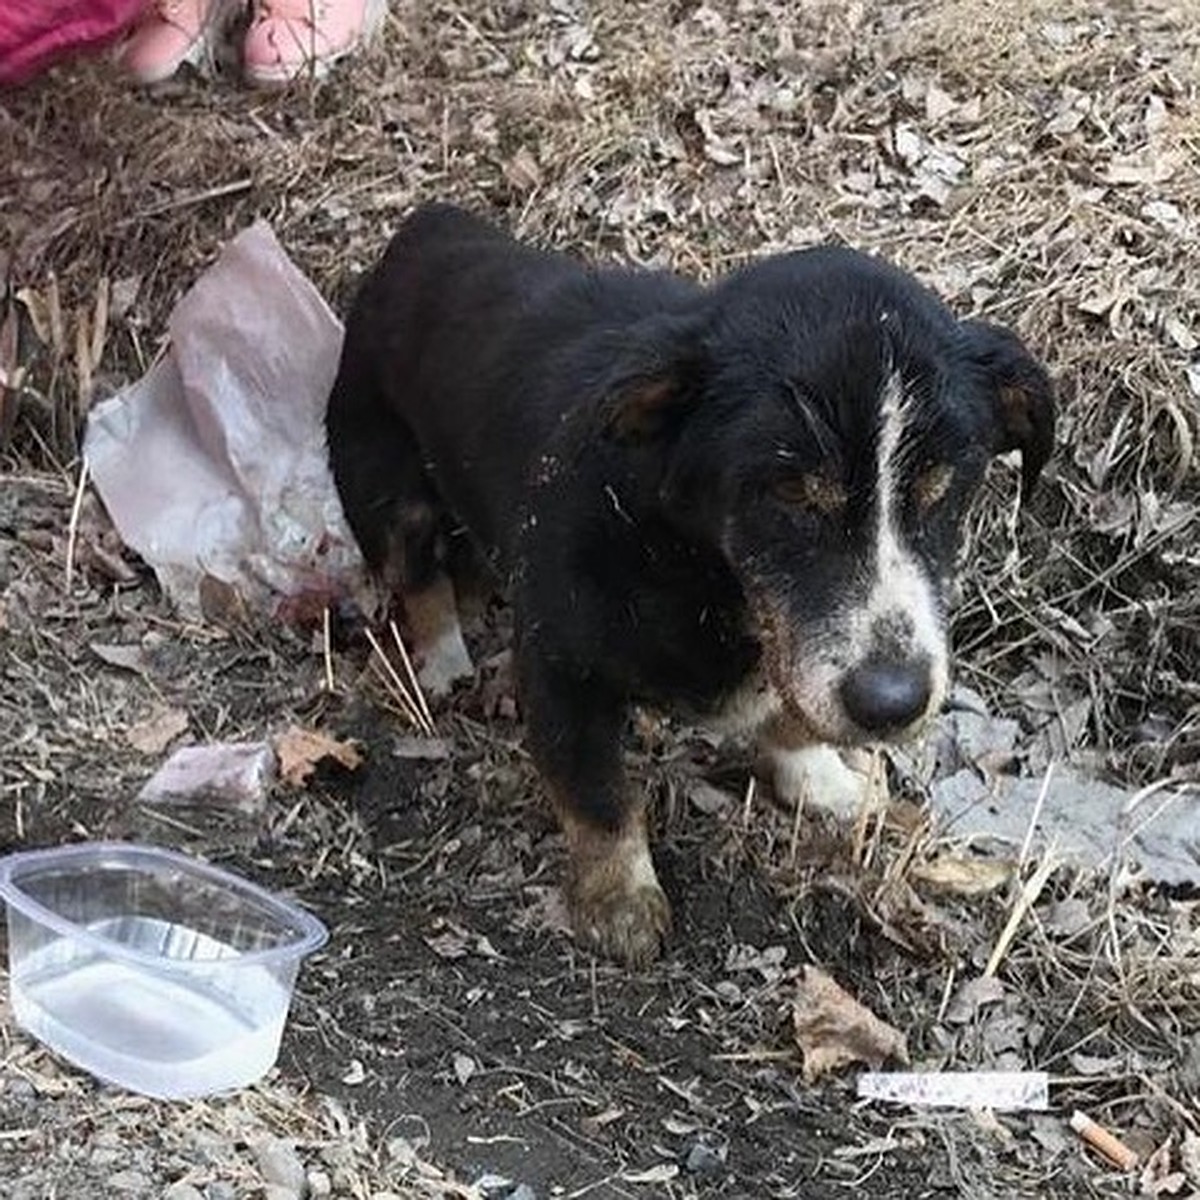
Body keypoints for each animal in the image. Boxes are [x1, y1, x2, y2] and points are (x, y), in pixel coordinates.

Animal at [324, 204, 1056, 964]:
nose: (892, 705)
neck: (699, 565)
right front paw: (618, 899)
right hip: (384, 485)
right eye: (788, 492)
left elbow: (790, 718)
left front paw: (822, 780)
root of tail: (424, 228)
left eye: (944, 488)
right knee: (417, 576)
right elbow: (595, 788)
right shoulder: (560, 662)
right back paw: (442, 660)